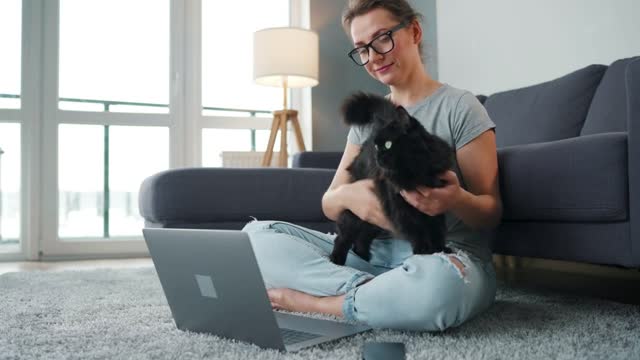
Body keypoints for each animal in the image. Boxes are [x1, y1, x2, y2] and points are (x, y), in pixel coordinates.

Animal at [330, 93, 456, 266]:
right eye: (377, 146)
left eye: (388, 144)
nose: (377, 157)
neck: (415, 170)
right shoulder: (400, 205)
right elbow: (416, 228)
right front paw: (423, 248)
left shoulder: (437, 202)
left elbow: (436, 228)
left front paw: (440, 248)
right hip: (355, 210)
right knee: (343, 236)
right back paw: (337, 259)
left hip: (372, 221)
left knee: (362, 238)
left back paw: (363, 257)